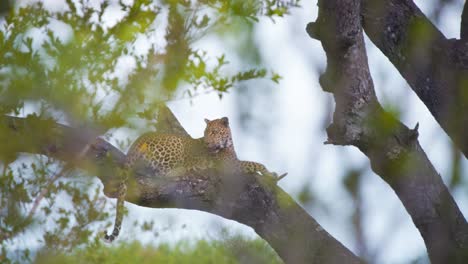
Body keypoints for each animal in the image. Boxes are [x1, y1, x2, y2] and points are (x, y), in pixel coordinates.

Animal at [103, 116, 286, 242]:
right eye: (206, 133)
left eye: (214, 132)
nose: (207, 144)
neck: (227, 144)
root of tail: (137, 141)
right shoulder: (231, 167)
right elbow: (256, 163)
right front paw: (271, 174)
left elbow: (255, 163)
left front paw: (271, 174)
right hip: (174, 148)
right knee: (163, 174)